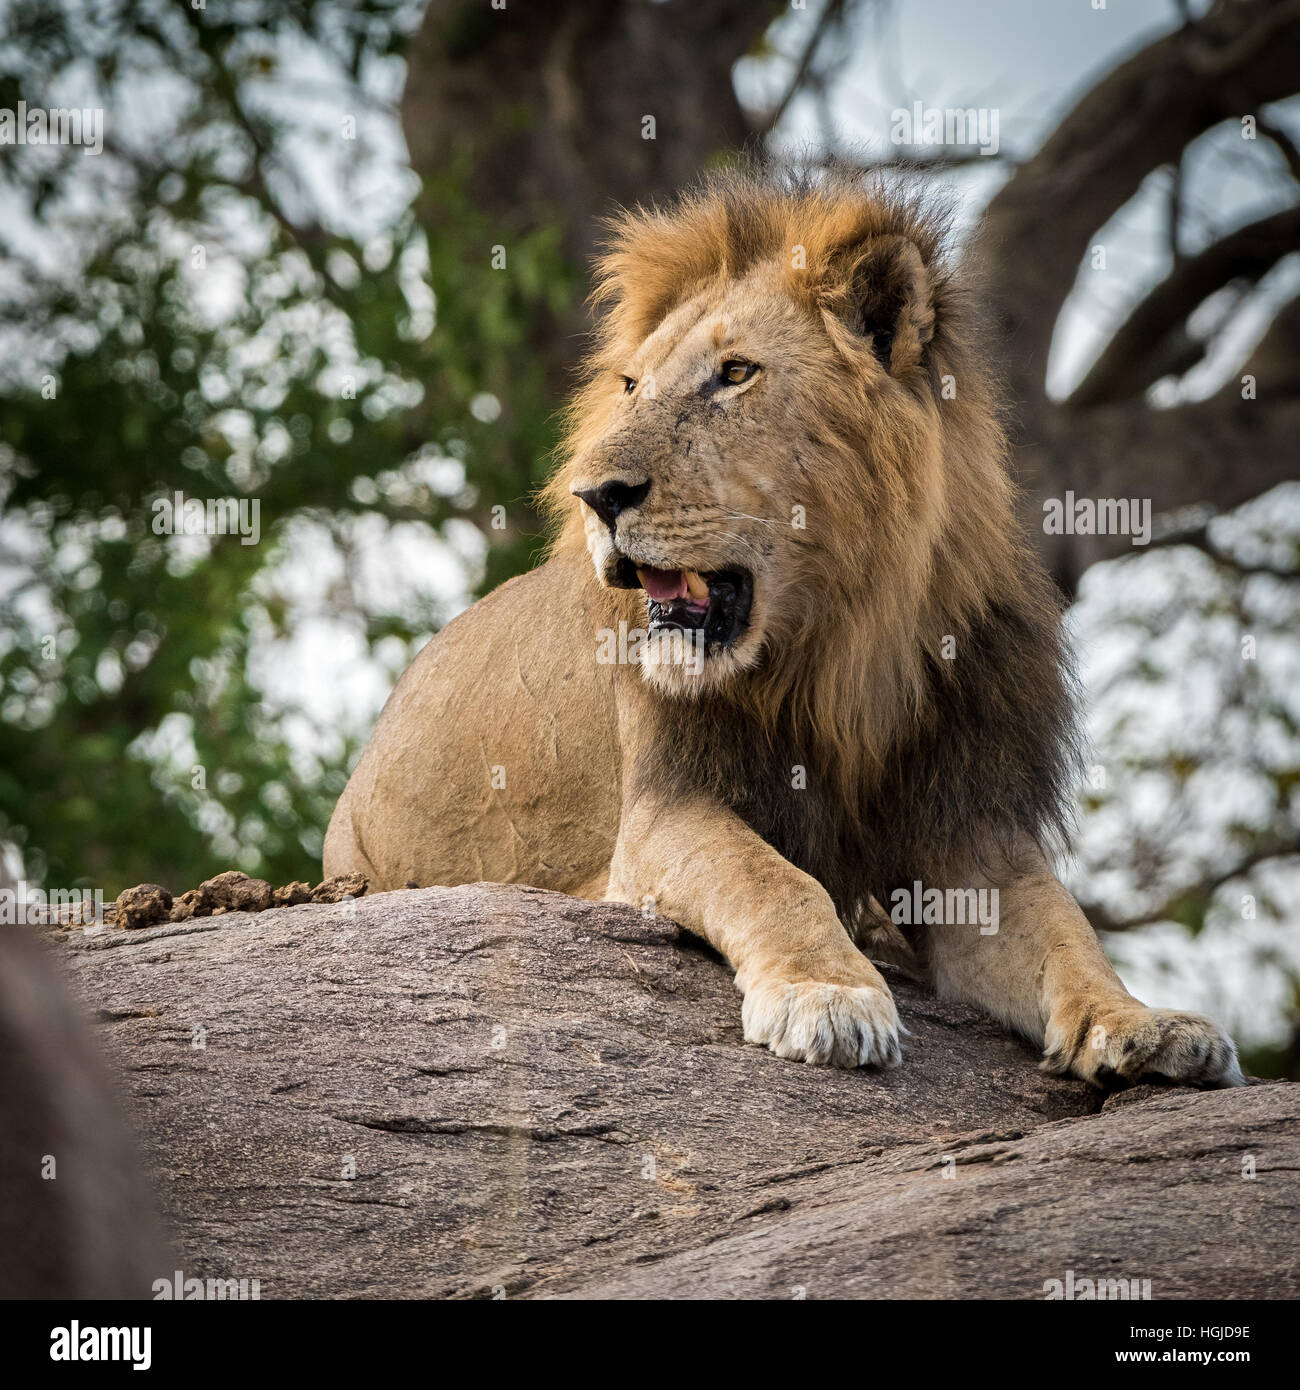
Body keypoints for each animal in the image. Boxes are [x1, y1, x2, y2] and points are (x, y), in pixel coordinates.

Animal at [325, 165, 1242, 1088]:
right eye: (631, 387)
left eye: (735, 373)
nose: (596, 495)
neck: (841, 648)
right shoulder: (662, 811)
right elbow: (769, 879)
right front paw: (828, 996)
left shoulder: (967, 829)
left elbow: (1064, 929)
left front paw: (1142, 1024)